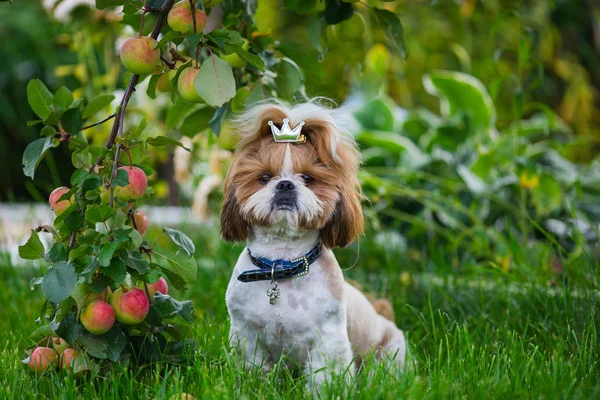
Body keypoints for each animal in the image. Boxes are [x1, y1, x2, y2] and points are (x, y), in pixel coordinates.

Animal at [220, 100, 408, 388]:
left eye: (308, 178)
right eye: (265, 177)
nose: (285, 184)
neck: (281, 264)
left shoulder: (328, 339)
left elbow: (325, 376)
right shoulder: (246, 334)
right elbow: (252, 367)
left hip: (391, 348)